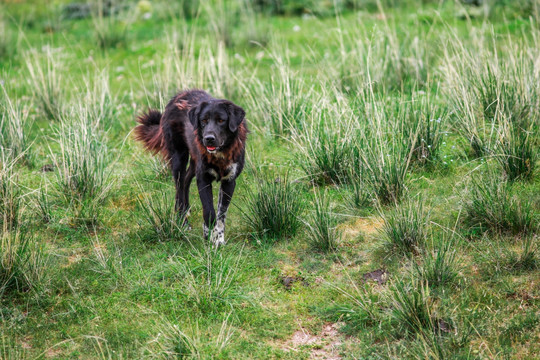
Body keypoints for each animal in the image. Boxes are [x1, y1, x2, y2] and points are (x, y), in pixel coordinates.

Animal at [135, 89, 247, 245]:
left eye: (221, 120)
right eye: (204, 121)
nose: (208, 139)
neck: (220, 154)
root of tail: (177, 96)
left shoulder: (229, 181)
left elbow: (221, 215)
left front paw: (219, 240)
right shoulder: (203, 179)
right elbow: (209, 211)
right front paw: (208, 237)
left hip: (194, 162)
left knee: (186, 181)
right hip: (179, 158)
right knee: (179, 188)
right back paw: (182, 221)